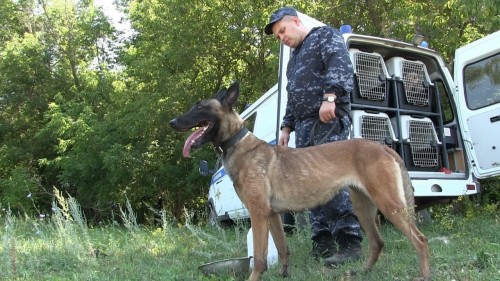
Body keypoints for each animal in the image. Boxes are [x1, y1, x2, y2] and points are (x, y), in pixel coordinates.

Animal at [171, 82, 430, 278]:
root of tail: (384, 148)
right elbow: (283, 249)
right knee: (377, 243)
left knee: (420, 240)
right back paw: (362, 272)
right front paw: (284, 275)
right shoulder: (272, 215)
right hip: (364, 207)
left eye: (200, 106)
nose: (172, 122)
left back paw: (423, 275)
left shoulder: (258, 213)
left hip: (390, 205)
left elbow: (260, 258)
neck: (239, 143)